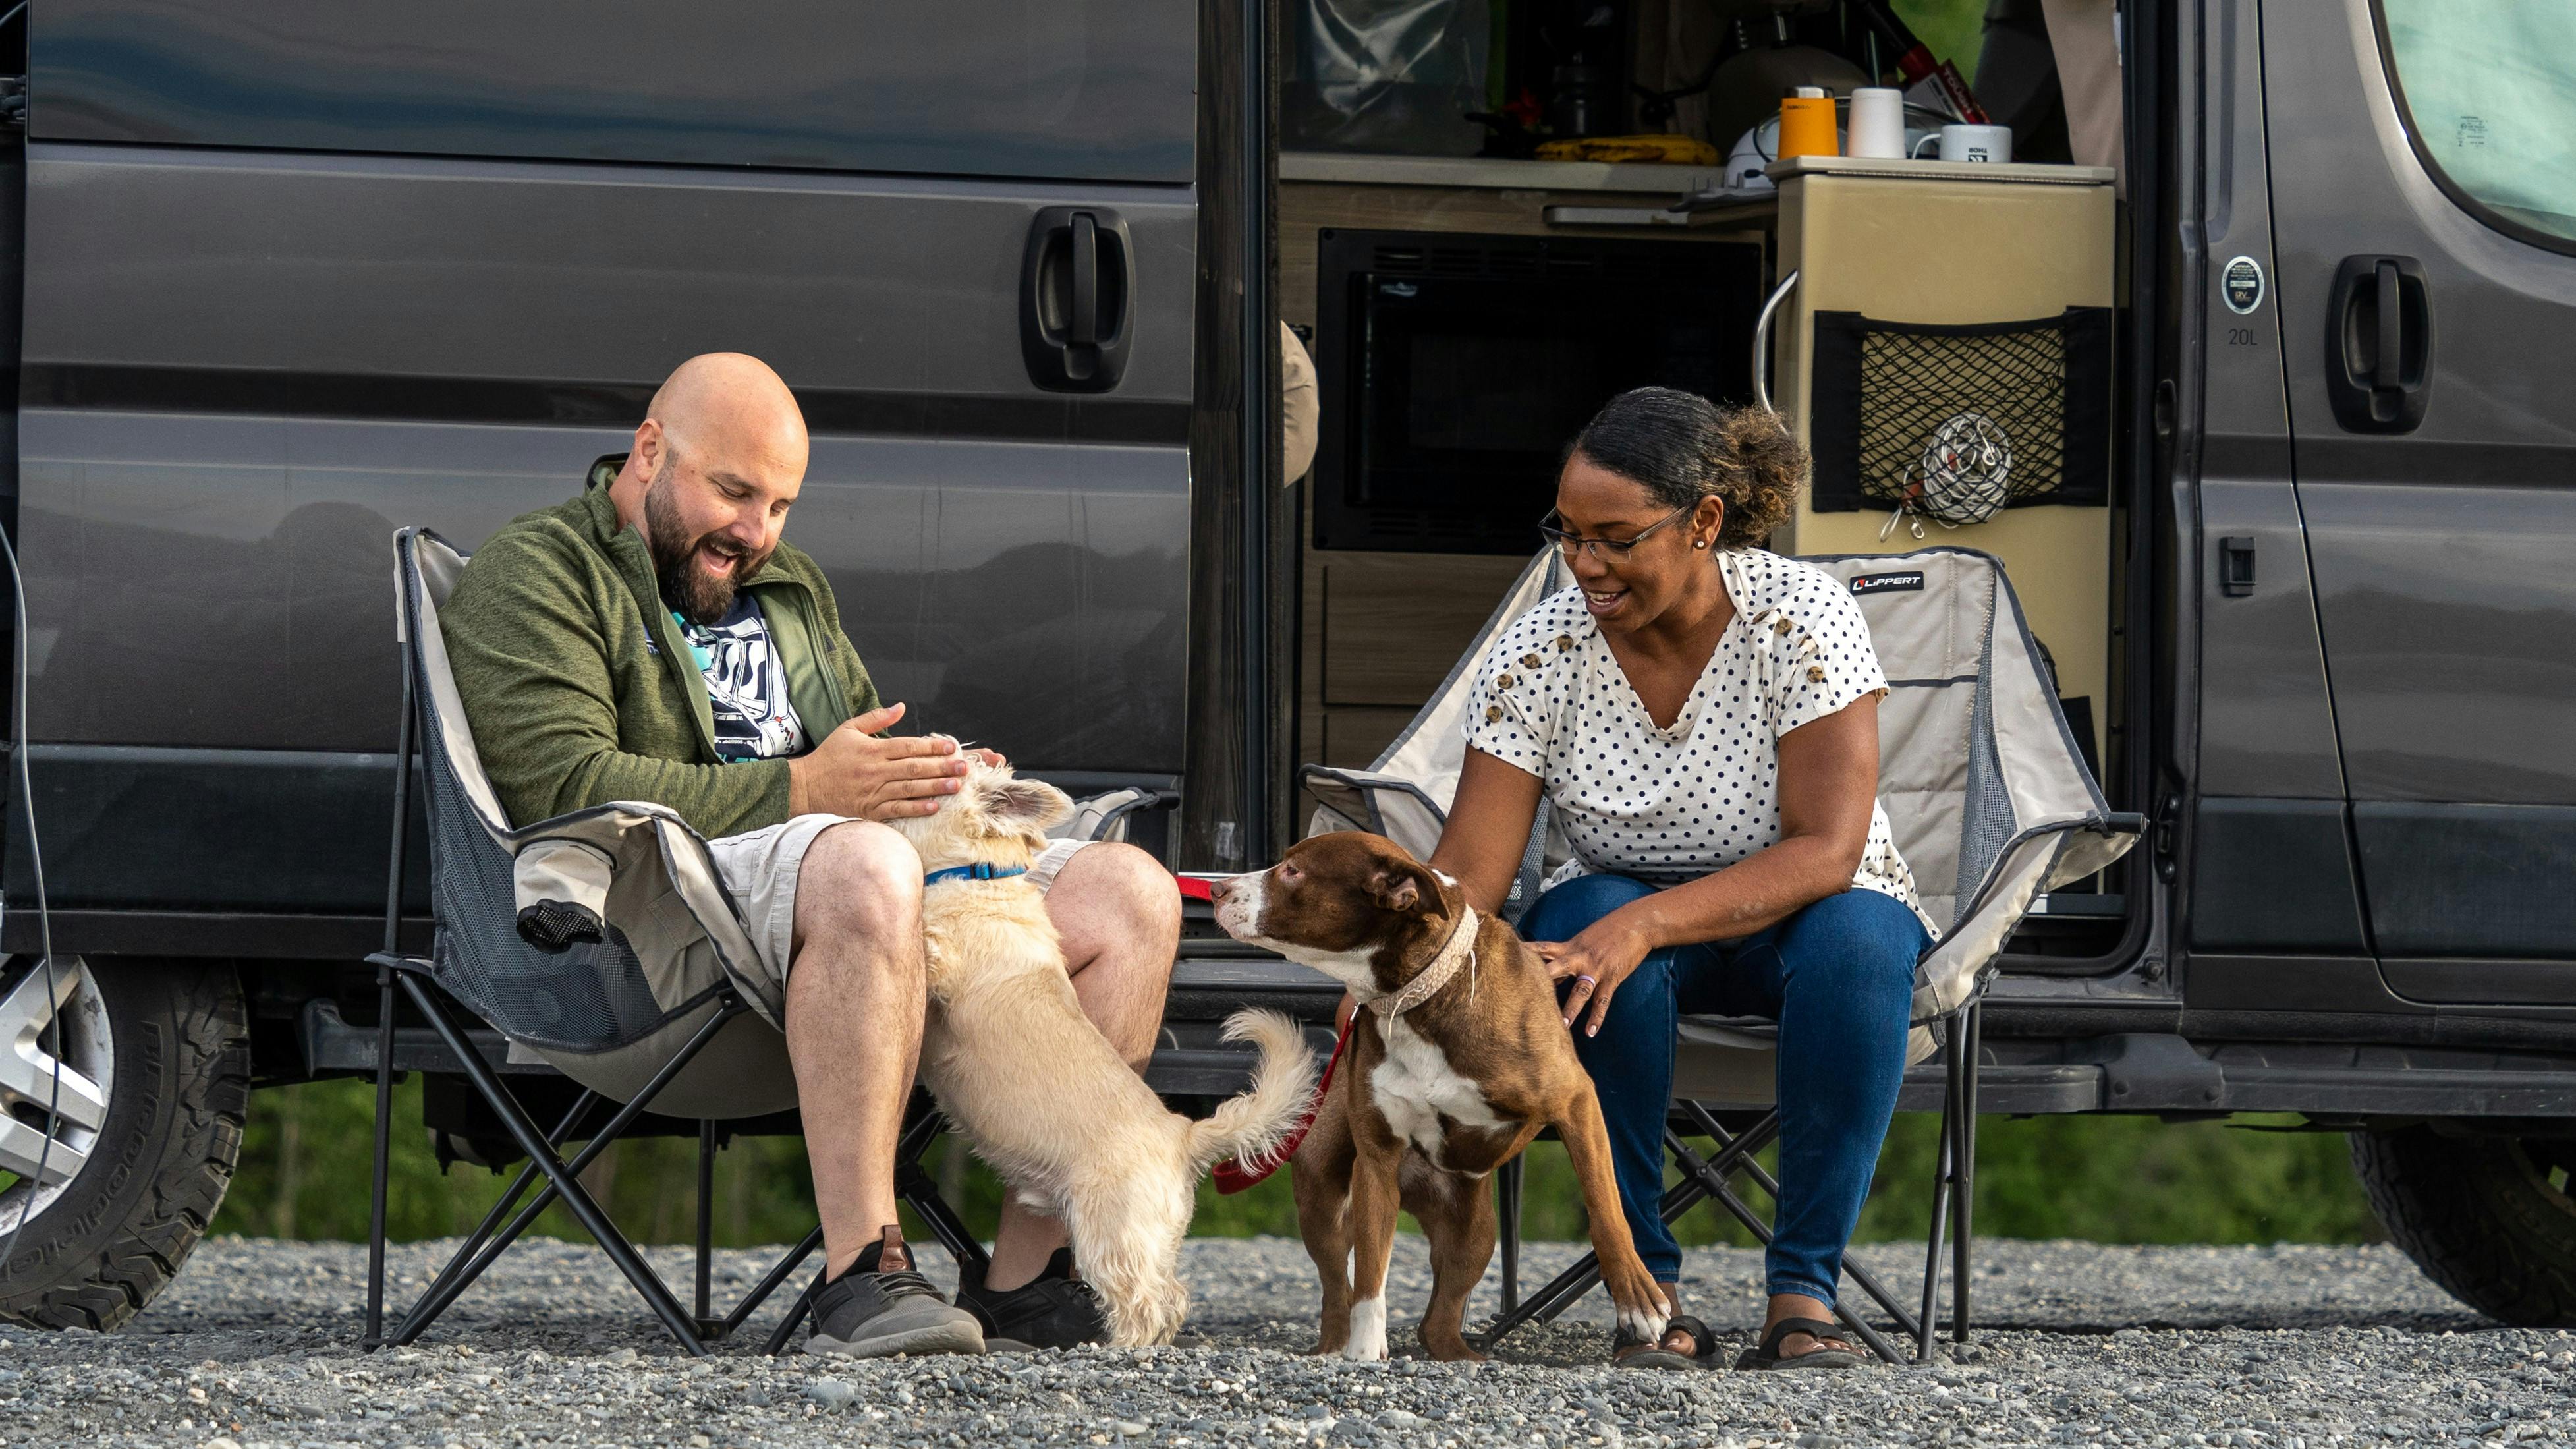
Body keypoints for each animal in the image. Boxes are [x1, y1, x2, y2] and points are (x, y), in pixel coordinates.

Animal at [896, 742, 1318, 1340]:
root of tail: (1182, 1134)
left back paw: (1119, 1344)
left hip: (1109, 1233)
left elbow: (926, 938)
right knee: (1171, 1295)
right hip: (1147, 1235)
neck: (975, 871)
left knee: (1147, 1300)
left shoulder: (943, 962)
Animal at [1210, 825, 1669, 1351]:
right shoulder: (1376, 1163)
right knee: (1338, 1291)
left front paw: (1637, 1301)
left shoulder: (1576, 1100)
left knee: (1439, 1320)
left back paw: (1466, 1357)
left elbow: (1605, 1207)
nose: (1216, 889)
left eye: (1293, 870)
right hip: (1323, 1189)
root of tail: (1420, 1188)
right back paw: (1335, 1347)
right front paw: (1365, 1351)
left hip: (1476, 1232)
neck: (1417, 995)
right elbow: (1370, 1272)